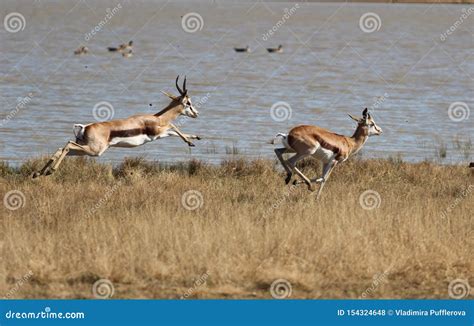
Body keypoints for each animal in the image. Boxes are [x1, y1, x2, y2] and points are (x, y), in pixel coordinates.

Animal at [32, 76, 200, 178]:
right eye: (188, 103)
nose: (196, 113)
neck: (157, 117)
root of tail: (85, 126)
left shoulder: (158, 135)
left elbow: (173, 132)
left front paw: (195, 138)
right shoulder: (157, 132)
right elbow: (174, 127)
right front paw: (190, 141)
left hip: (84, 149)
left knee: (62, 148)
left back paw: (39, 173)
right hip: (95, 151)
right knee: (67, 145)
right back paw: (50, 171)